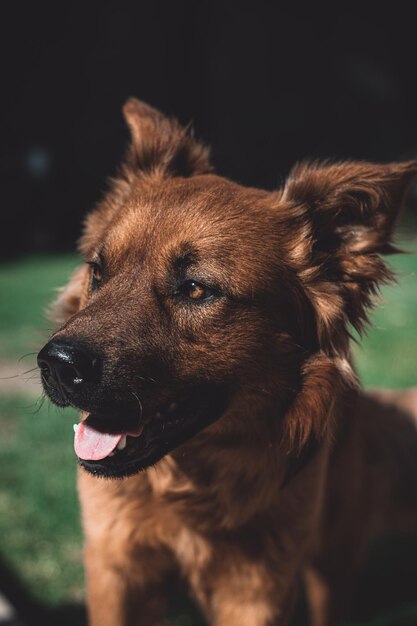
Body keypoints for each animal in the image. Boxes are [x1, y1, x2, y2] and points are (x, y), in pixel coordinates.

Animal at [37, 98, 416, 624]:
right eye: (99, 270)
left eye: (197, 289)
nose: (55, 364)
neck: (188, 484)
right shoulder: (115, 566)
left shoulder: (257, 589)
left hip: (331, 556)